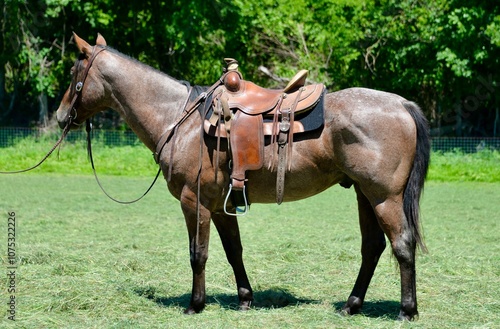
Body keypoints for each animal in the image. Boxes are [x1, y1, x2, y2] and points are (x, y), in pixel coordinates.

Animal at [54, 34, 430, 320]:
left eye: (74, 71)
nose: (60, 116)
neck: (180, 119)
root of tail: (403, 105)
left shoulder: (194, 201)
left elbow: (198, 253)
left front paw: (195, 305)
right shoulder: (220, 206)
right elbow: (234, 251)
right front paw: (246, 299)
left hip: (384, 197)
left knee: (402, 245)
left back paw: (406, 311)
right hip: (364, 194)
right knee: (372, 248)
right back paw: (351, 306)